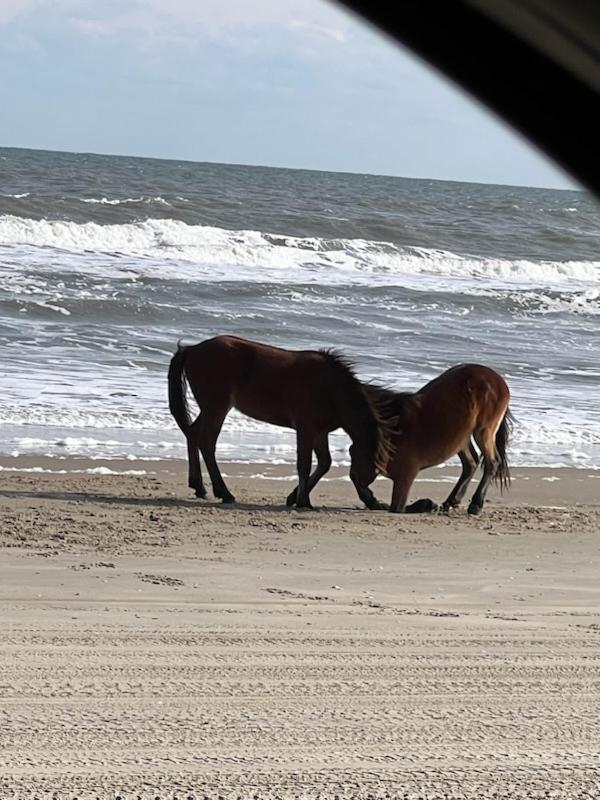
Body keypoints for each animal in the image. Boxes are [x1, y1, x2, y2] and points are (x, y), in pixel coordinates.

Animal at [168, 336, 390, 506]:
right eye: (367, 470)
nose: (373, 501)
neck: (330, 387)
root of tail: (192, 349)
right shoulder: (306, 428)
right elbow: (304, 464)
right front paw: (302, 501)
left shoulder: (320, 432)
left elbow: (324, 463)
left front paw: (294, 497)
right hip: (216, 408)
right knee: (207, 444)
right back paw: (224, 493)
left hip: (211, 409)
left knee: (193, 433)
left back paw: (199, 486)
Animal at [356, 362, 510, 512]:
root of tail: (499, 381)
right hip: (461, 436)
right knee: (471, 462)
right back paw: (451, 502)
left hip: (483, 431)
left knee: (492, 462)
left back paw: (475, 505)